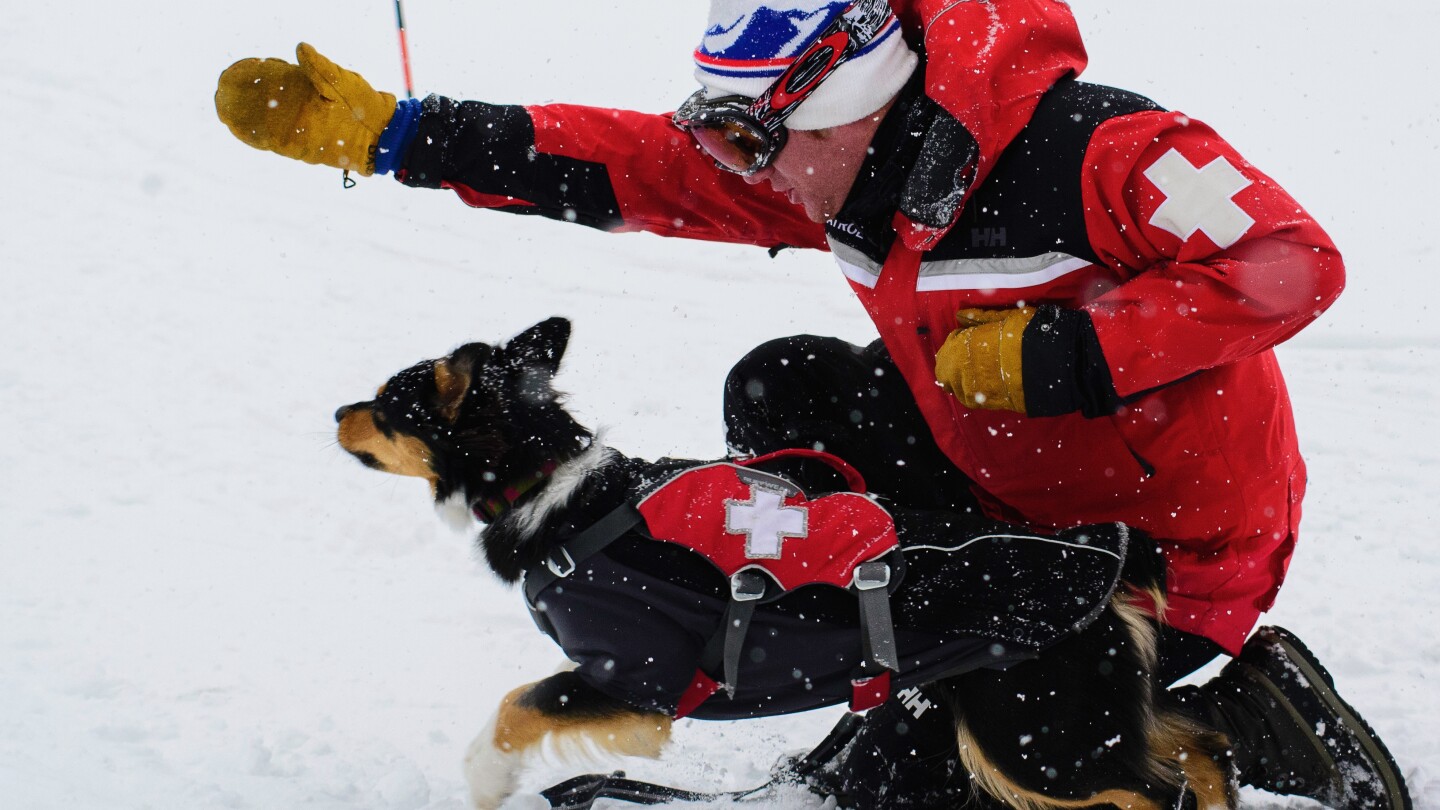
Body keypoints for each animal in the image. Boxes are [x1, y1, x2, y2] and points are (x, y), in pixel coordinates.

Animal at [331, 317, 1232, 807]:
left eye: (388, 403)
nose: (337, 410)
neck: (552, 487)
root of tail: (1110, 553)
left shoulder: (632, 676)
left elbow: (512, 710)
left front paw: (487, 785)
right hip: (1081, 721)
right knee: (1205, 747)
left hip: (1031, 737)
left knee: (1166, 786)